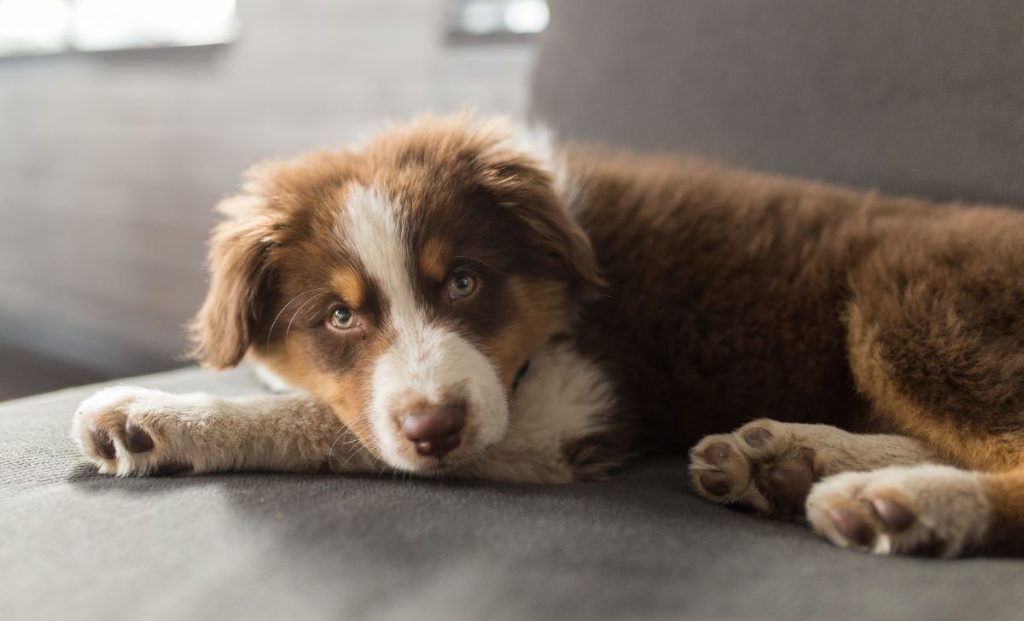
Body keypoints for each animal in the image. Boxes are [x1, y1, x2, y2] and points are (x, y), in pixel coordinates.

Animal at [75, 115, 1024, 561]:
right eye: (340, 317)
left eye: (464, 281)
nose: (436, 431)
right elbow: (341, 409)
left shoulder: (567, 410)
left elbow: (331, 425)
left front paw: (153, 413)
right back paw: (789, 462)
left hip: (910, 301)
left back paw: (906, 503)